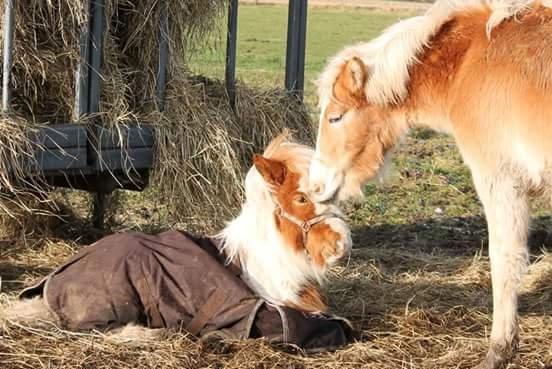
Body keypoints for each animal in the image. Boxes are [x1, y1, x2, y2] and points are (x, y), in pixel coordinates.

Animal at [308, 1, 552, 366]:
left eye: (336, 117)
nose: (315, 186)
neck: (468, 61)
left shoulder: (501, 181)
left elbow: (504, 260)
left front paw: (499, 349)